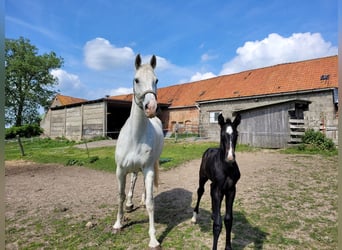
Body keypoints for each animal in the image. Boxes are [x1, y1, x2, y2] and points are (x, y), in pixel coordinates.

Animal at [113, 53, 164, 249]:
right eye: (136, 80)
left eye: (156, 80)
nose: (151, 108)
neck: (135, 136)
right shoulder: (120, 170)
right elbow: (120, 196)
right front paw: (118, 224)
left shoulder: (148, 168)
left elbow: (151, 203)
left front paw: (153, 239)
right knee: (134, 178)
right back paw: (129, 204)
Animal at [191, 114, 242, 250]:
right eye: (222, 134)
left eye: (236, 134)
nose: (230, 158)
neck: (226, 168)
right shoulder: (218, 190)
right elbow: (218, 224)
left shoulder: (231, 190)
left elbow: (228, 219)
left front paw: (228, 247)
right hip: (202, 177)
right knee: (200, 191)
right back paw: (194, 217)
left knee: (210, 191)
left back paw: (213, 214)